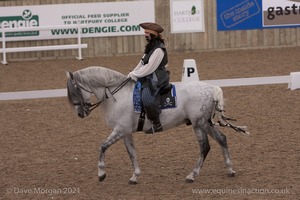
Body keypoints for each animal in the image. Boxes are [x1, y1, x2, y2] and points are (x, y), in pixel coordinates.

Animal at [66, 66, 248, 184]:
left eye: (75, 91)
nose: (80, 113)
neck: (118, 96)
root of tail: (212, 89)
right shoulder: (126, 132)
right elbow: (131, 153)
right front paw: (135, 176)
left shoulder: (120, 130)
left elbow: (102, 147)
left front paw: (101, 173)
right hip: (205, 123)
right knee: (222, 139)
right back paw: (230, 169)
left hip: (199, 125)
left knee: (205, 147)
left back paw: (192, 175)